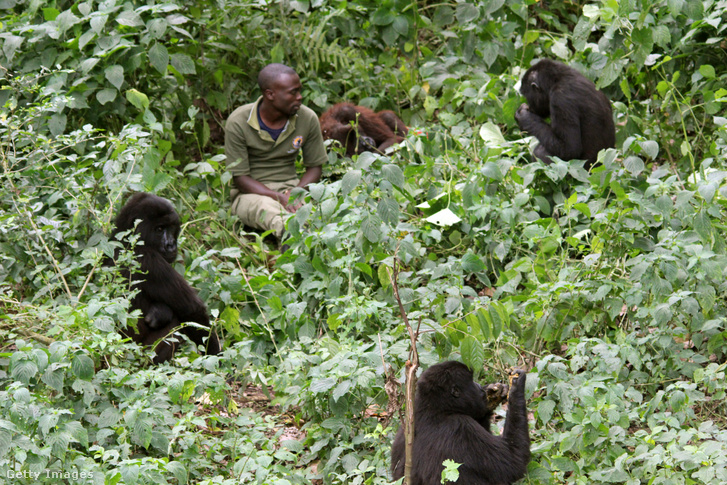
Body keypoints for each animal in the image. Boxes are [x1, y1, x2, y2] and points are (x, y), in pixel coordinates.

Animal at [112, 193, 220, 364]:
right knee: (176, 323)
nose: (171, 245)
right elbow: (193, 313)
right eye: (159, 229)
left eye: (171, 228)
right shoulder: (150, 261)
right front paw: (216, 356)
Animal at [390, 362, 532, 482]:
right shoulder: (461, 427)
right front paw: (516, 386)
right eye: (471, 381)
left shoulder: (405, 426)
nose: (479, 387)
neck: (436, 408)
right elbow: (513, 461)